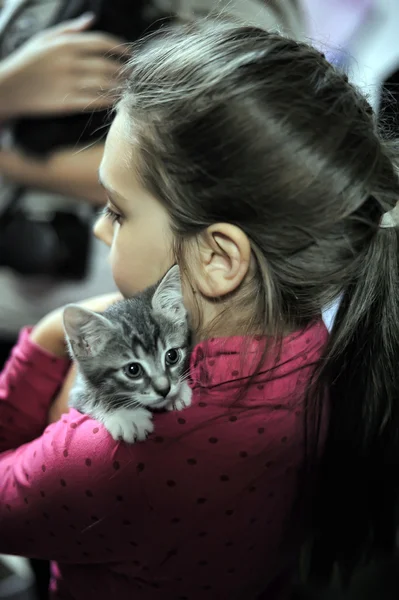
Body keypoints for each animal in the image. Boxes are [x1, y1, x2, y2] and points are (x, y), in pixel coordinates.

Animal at [63, 264, 193, 442]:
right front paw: (126, 416)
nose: (165, 390)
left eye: (172, 356)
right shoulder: (77, 391)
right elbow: (91, 396)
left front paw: (178, 393)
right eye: (133, 370)